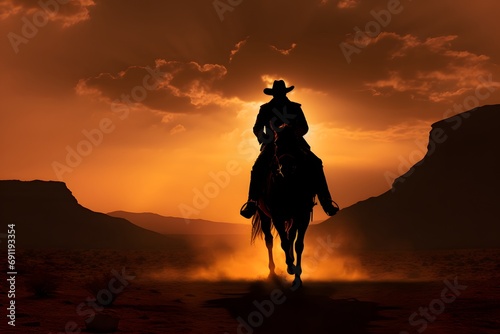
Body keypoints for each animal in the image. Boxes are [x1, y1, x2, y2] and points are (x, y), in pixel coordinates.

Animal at [250, 125, 316, 288]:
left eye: (294, 142)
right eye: (276, 143)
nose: (286, 167)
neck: (288, 186)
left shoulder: (303, 215)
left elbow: (298, 244)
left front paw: (297, 277)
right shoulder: (277, 216)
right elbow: (284, 243)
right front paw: (290, 267)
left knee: (290, 236)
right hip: (263, 215)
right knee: (269, 240)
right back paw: (272, 272)